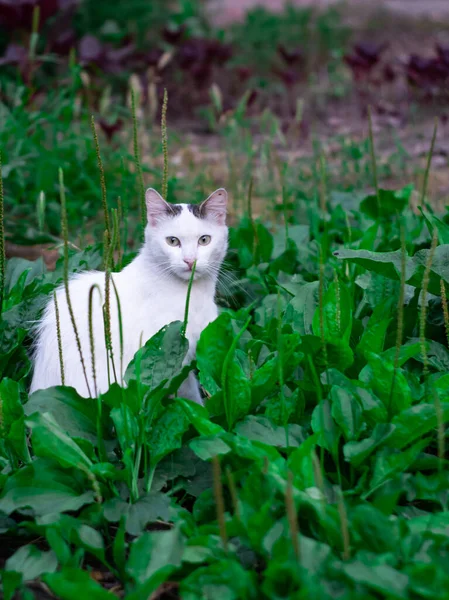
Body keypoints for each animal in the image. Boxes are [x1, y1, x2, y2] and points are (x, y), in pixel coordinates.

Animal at [29, 188, 229, 404]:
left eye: (204, 240)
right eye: (172, 241)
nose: (190, 260)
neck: (191, 294)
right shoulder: (173, 357)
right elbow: (189, 394)